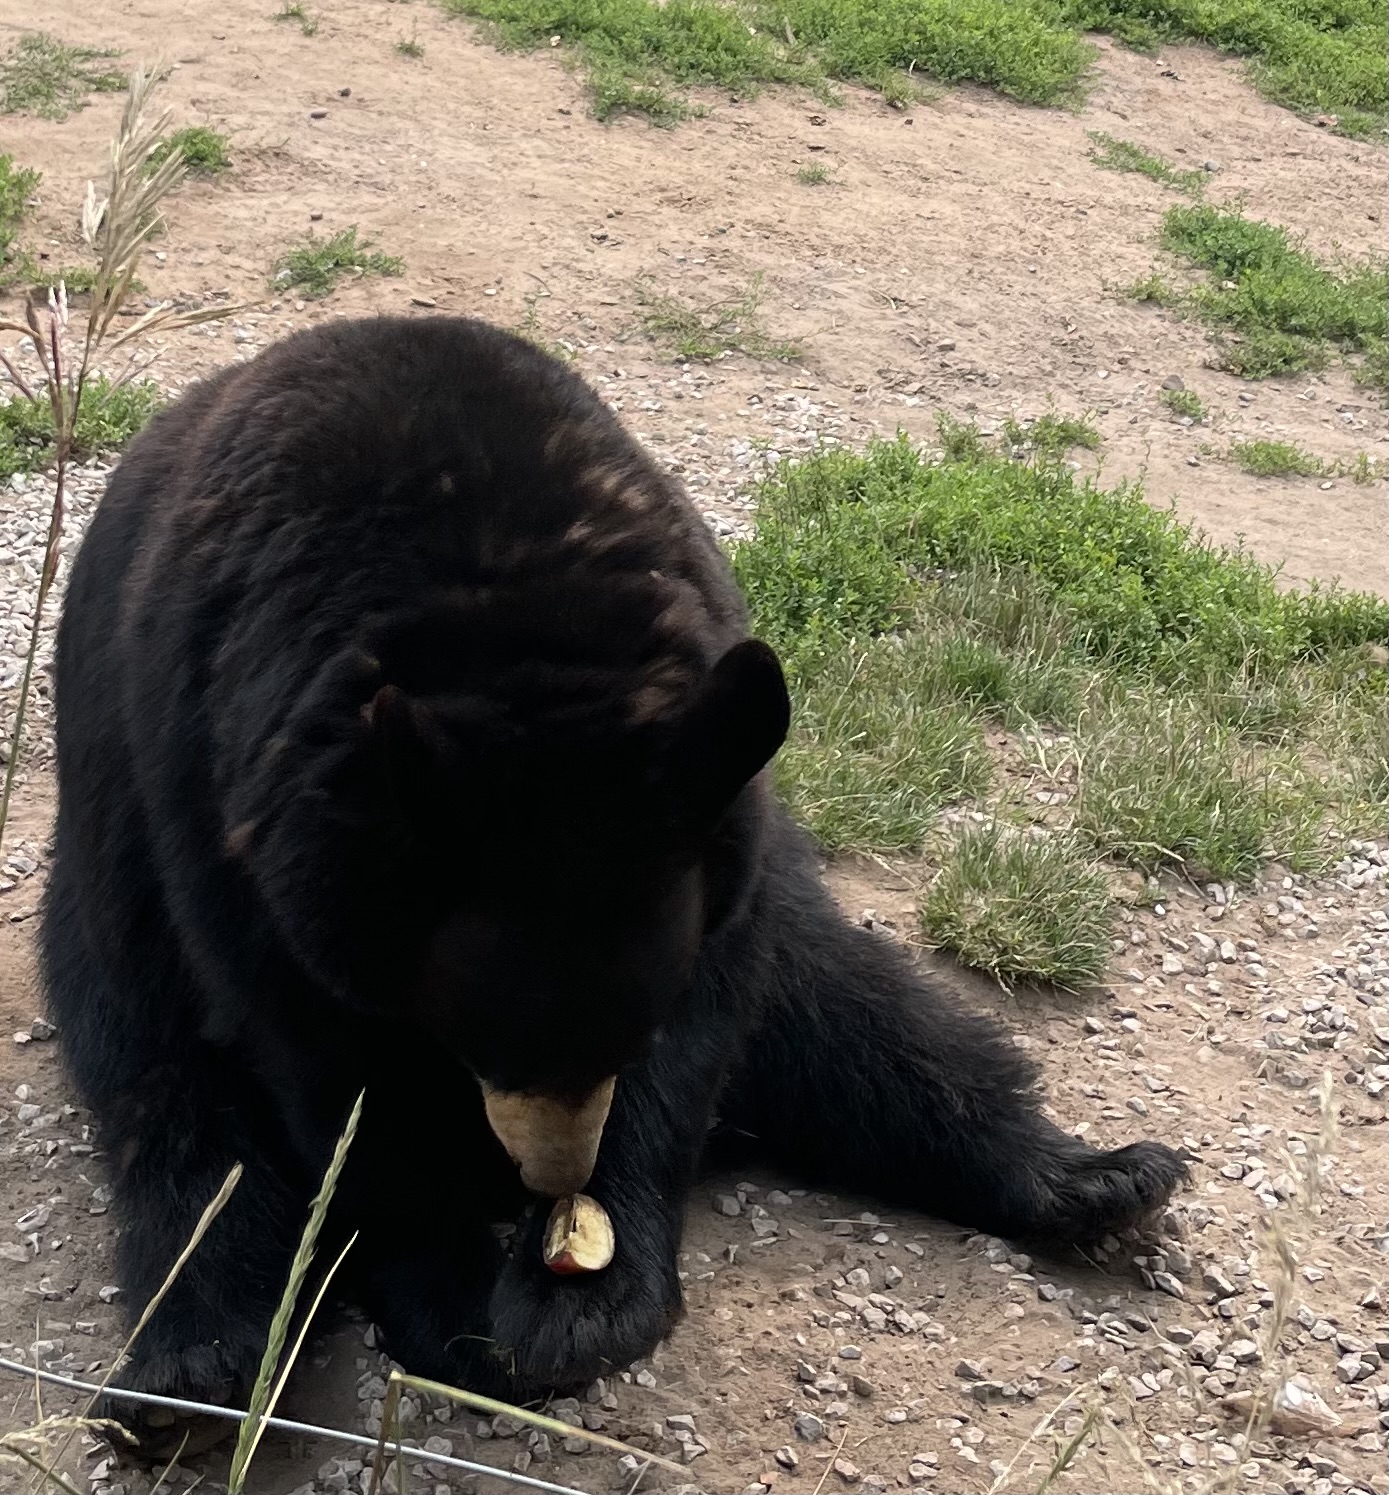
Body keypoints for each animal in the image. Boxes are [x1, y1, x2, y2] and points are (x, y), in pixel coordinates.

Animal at [41, 314, 1187, 1449]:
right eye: (480, 1045)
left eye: (627, 1037)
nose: (544, 1180)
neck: (518, 641)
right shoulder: (231, 815)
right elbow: (335, 1084)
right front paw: (458, 1305)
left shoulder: (714, 830)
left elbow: (713, 1017)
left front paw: (584, 1301)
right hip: (113, 865)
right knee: (171, 1098)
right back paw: (189, 1373)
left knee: (863, 1023)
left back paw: (1098, 1178)